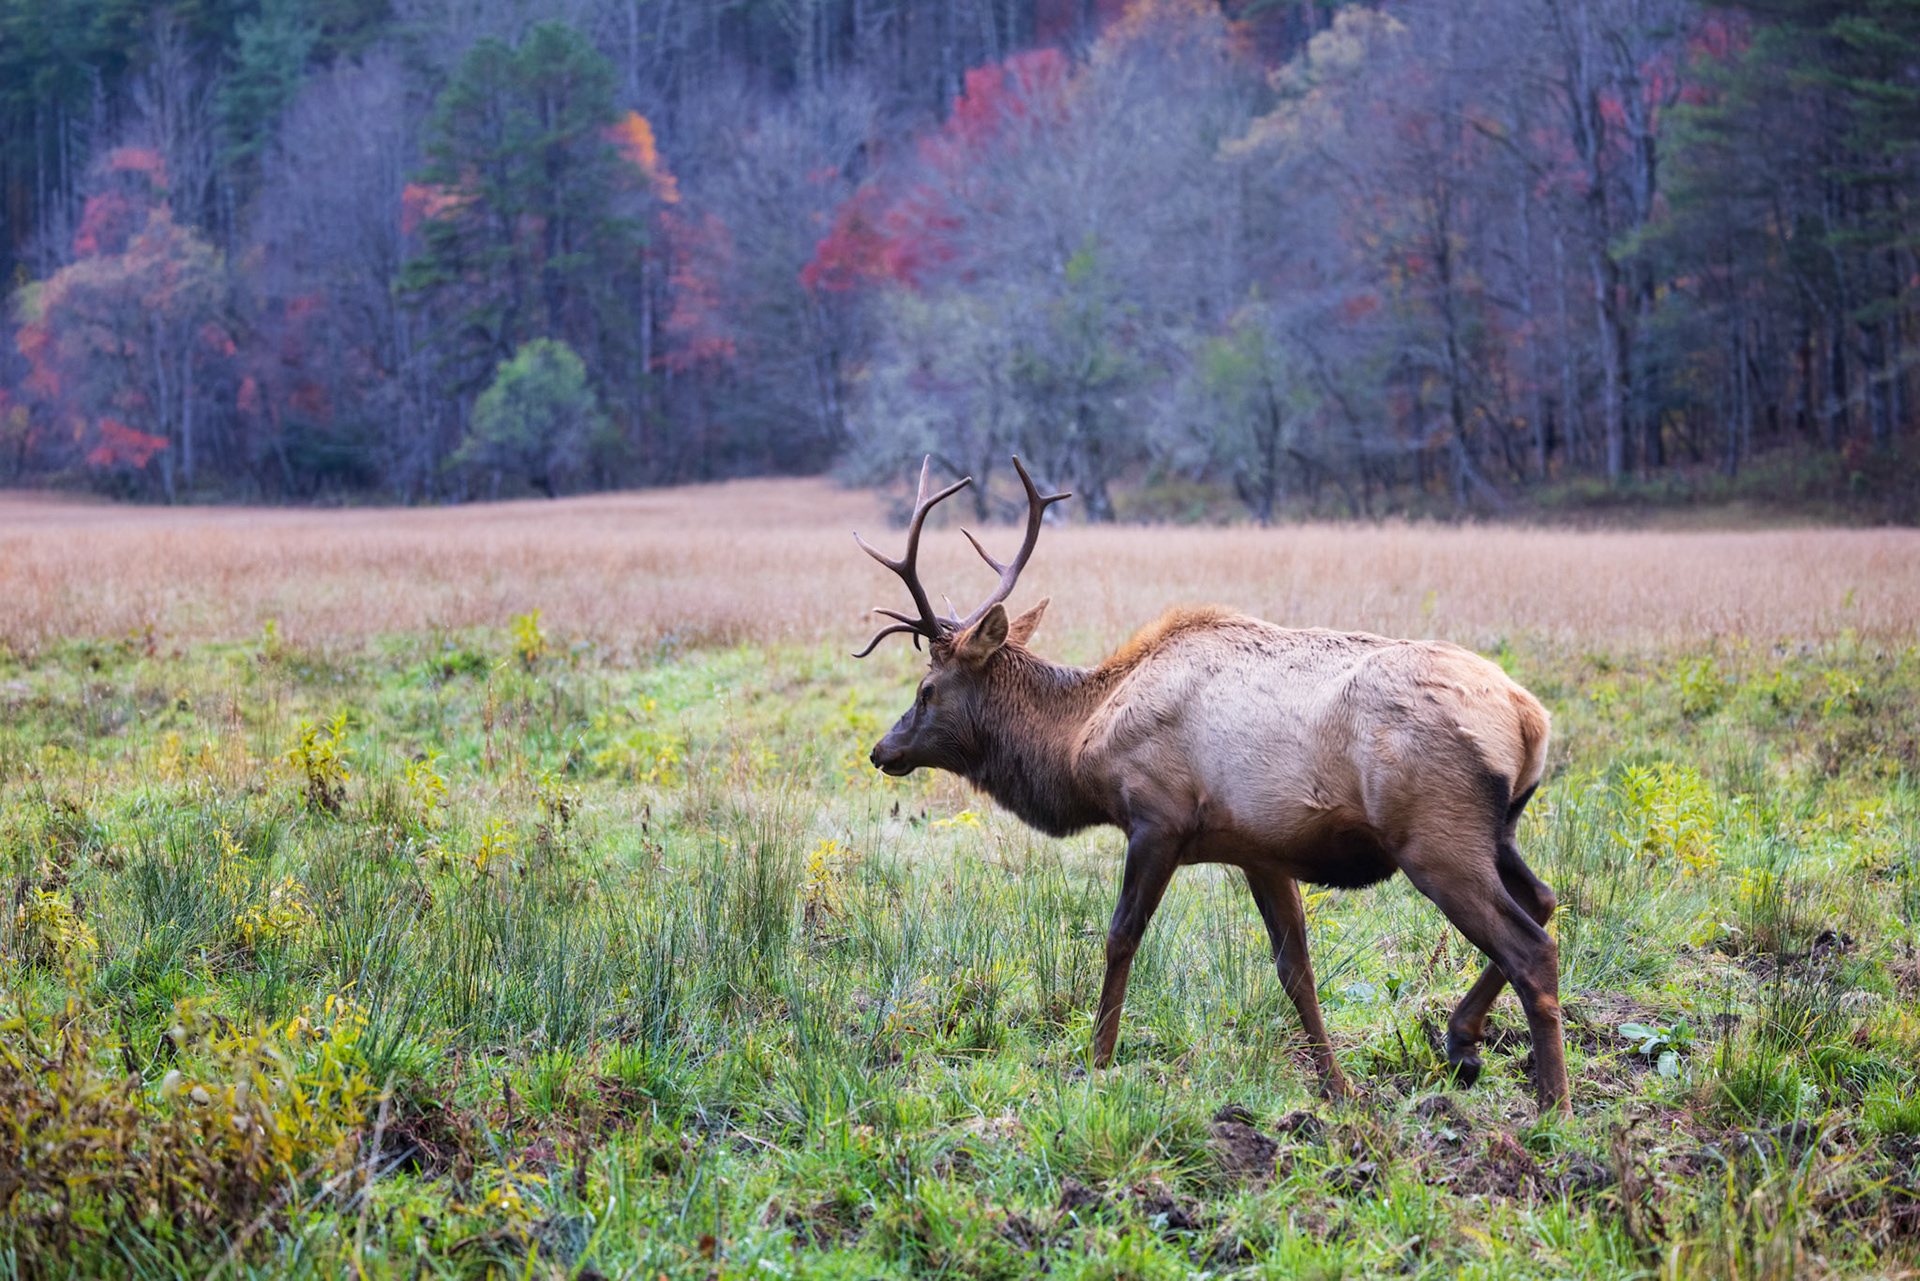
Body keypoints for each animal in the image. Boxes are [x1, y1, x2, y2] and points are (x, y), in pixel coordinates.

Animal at [852, 457, 1570, 1115]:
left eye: (926, 689)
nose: (883, 750)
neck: (1081, 741)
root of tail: (1529, 718)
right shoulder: (1260, 849)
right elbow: (1295, 968)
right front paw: (1336, 1088)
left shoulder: (1157, 817)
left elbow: (1121, 936)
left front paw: (1097, 1061)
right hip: (1497, 830)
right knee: (1543, 898)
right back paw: (1462, 1042)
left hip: (1434, 836)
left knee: (1531, 947)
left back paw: (1552, 1105)